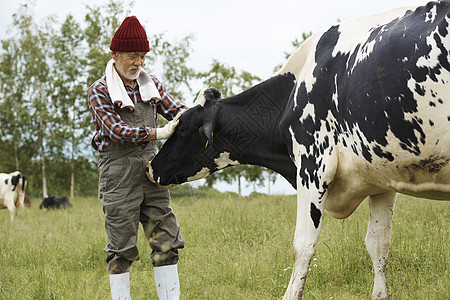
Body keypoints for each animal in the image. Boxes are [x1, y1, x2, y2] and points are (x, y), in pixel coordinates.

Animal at [149, 2, 450, 300]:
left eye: (183, 128)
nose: (151, 167)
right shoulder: (380, 178)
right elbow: (378, 244)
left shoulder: (313, 165)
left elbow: (302, 246)